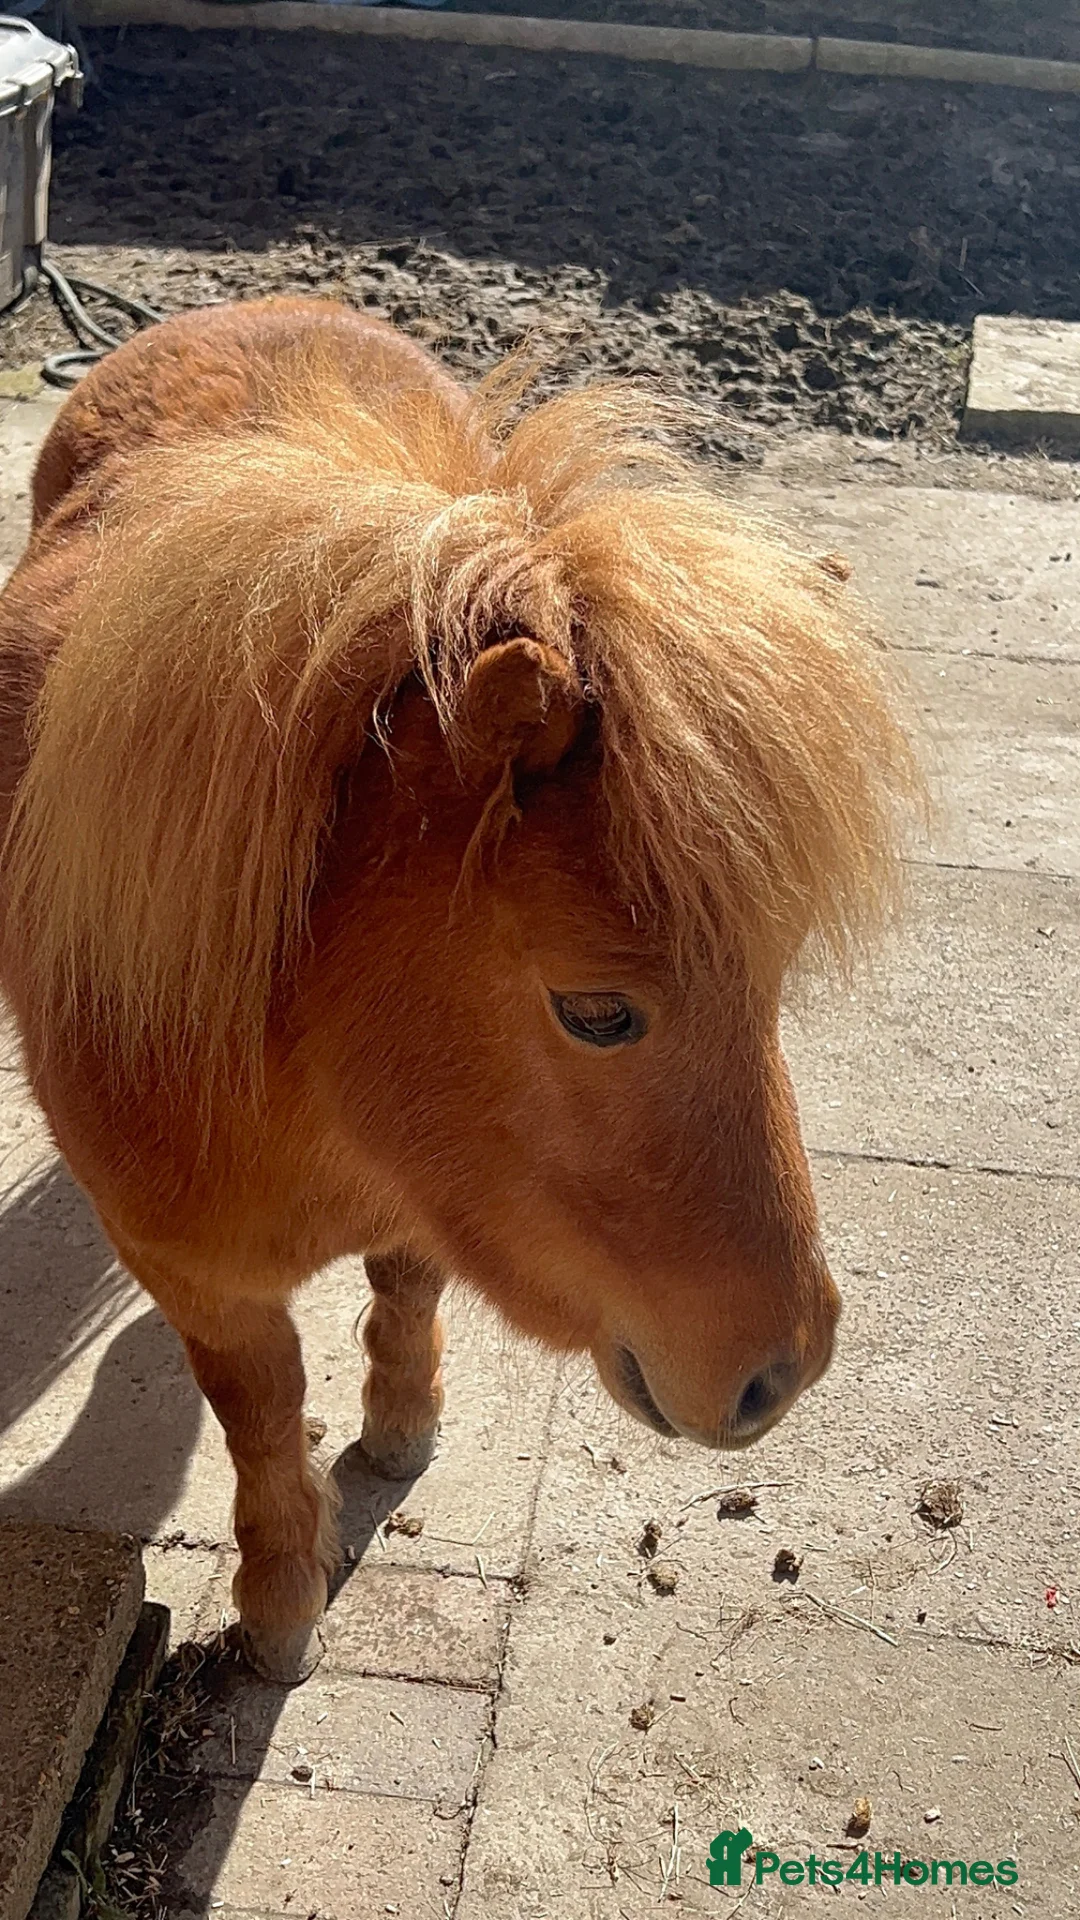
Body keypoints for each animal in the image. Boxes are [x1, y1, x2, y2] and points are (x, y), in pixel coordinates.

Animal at [0, 297, 917, 1681]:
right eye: (598, 1012)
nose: (789, 1370)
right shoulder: (202, 1280)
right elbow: (261, 1411)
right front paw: (283, 1598)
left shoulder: (431, 1195)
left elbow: (406, 1291)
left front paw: (400, 1425)